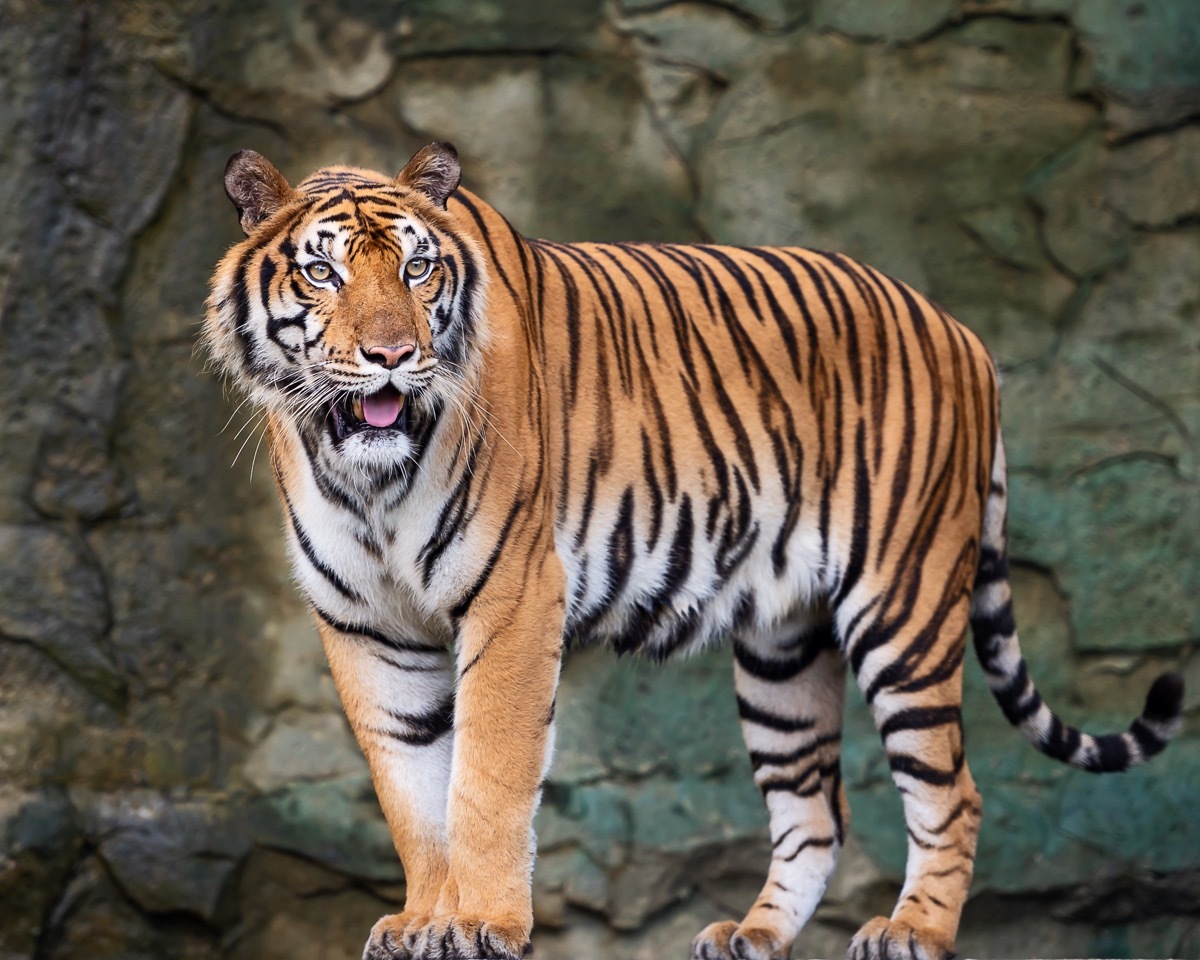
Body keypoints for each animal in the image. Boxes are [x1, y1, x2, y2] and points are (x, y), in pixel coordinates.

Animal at [204, 141, 1184, 960]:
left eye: (417, 267)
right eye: (323, 271)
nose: (393, 355)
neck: (366, 477)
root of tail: (962, 331)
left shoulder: (513, 597)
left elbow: (484, 778)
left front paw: (482, 924)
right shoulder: (366, 625)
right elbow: (410, 790)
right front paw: (421, 923)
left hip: (901, 606)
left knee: (952, 790)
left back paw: (911, 932)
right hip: (786, 647)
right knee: (815, 811)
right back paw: (752, 935)